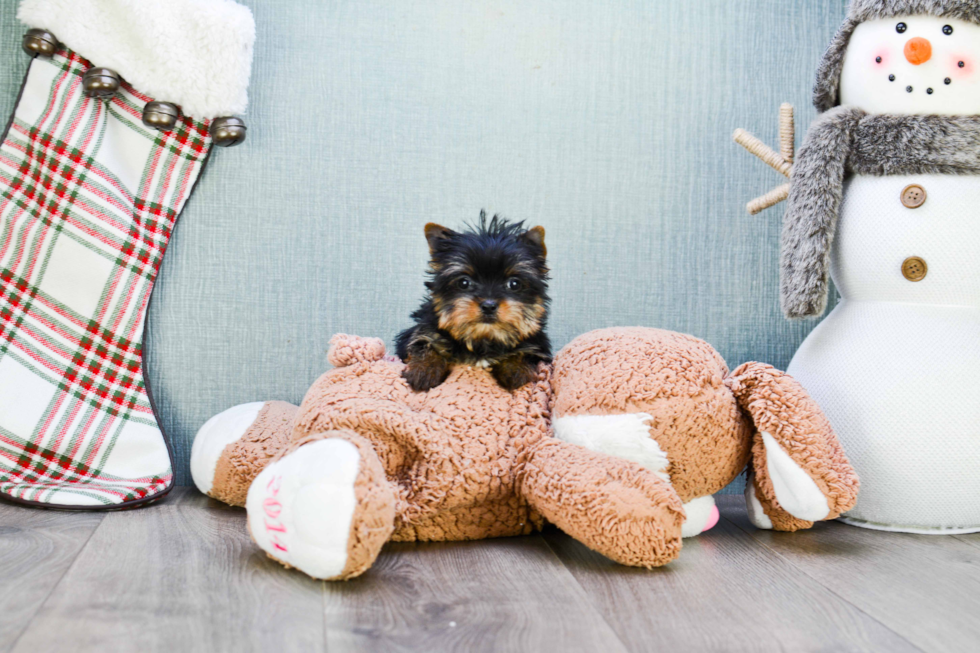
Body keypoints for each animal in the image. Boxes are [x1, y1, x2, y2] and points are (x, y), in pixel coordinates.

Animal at [396, 211, 552, 390]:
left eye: (514, 284)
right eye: (464, 282)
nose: (489, 306)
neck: (483, 338)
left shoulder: (538, 344)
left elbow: (526, 351)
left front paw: (516, 369)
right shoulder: (421, 331)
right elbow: (423, 342)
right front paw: (424, 369)